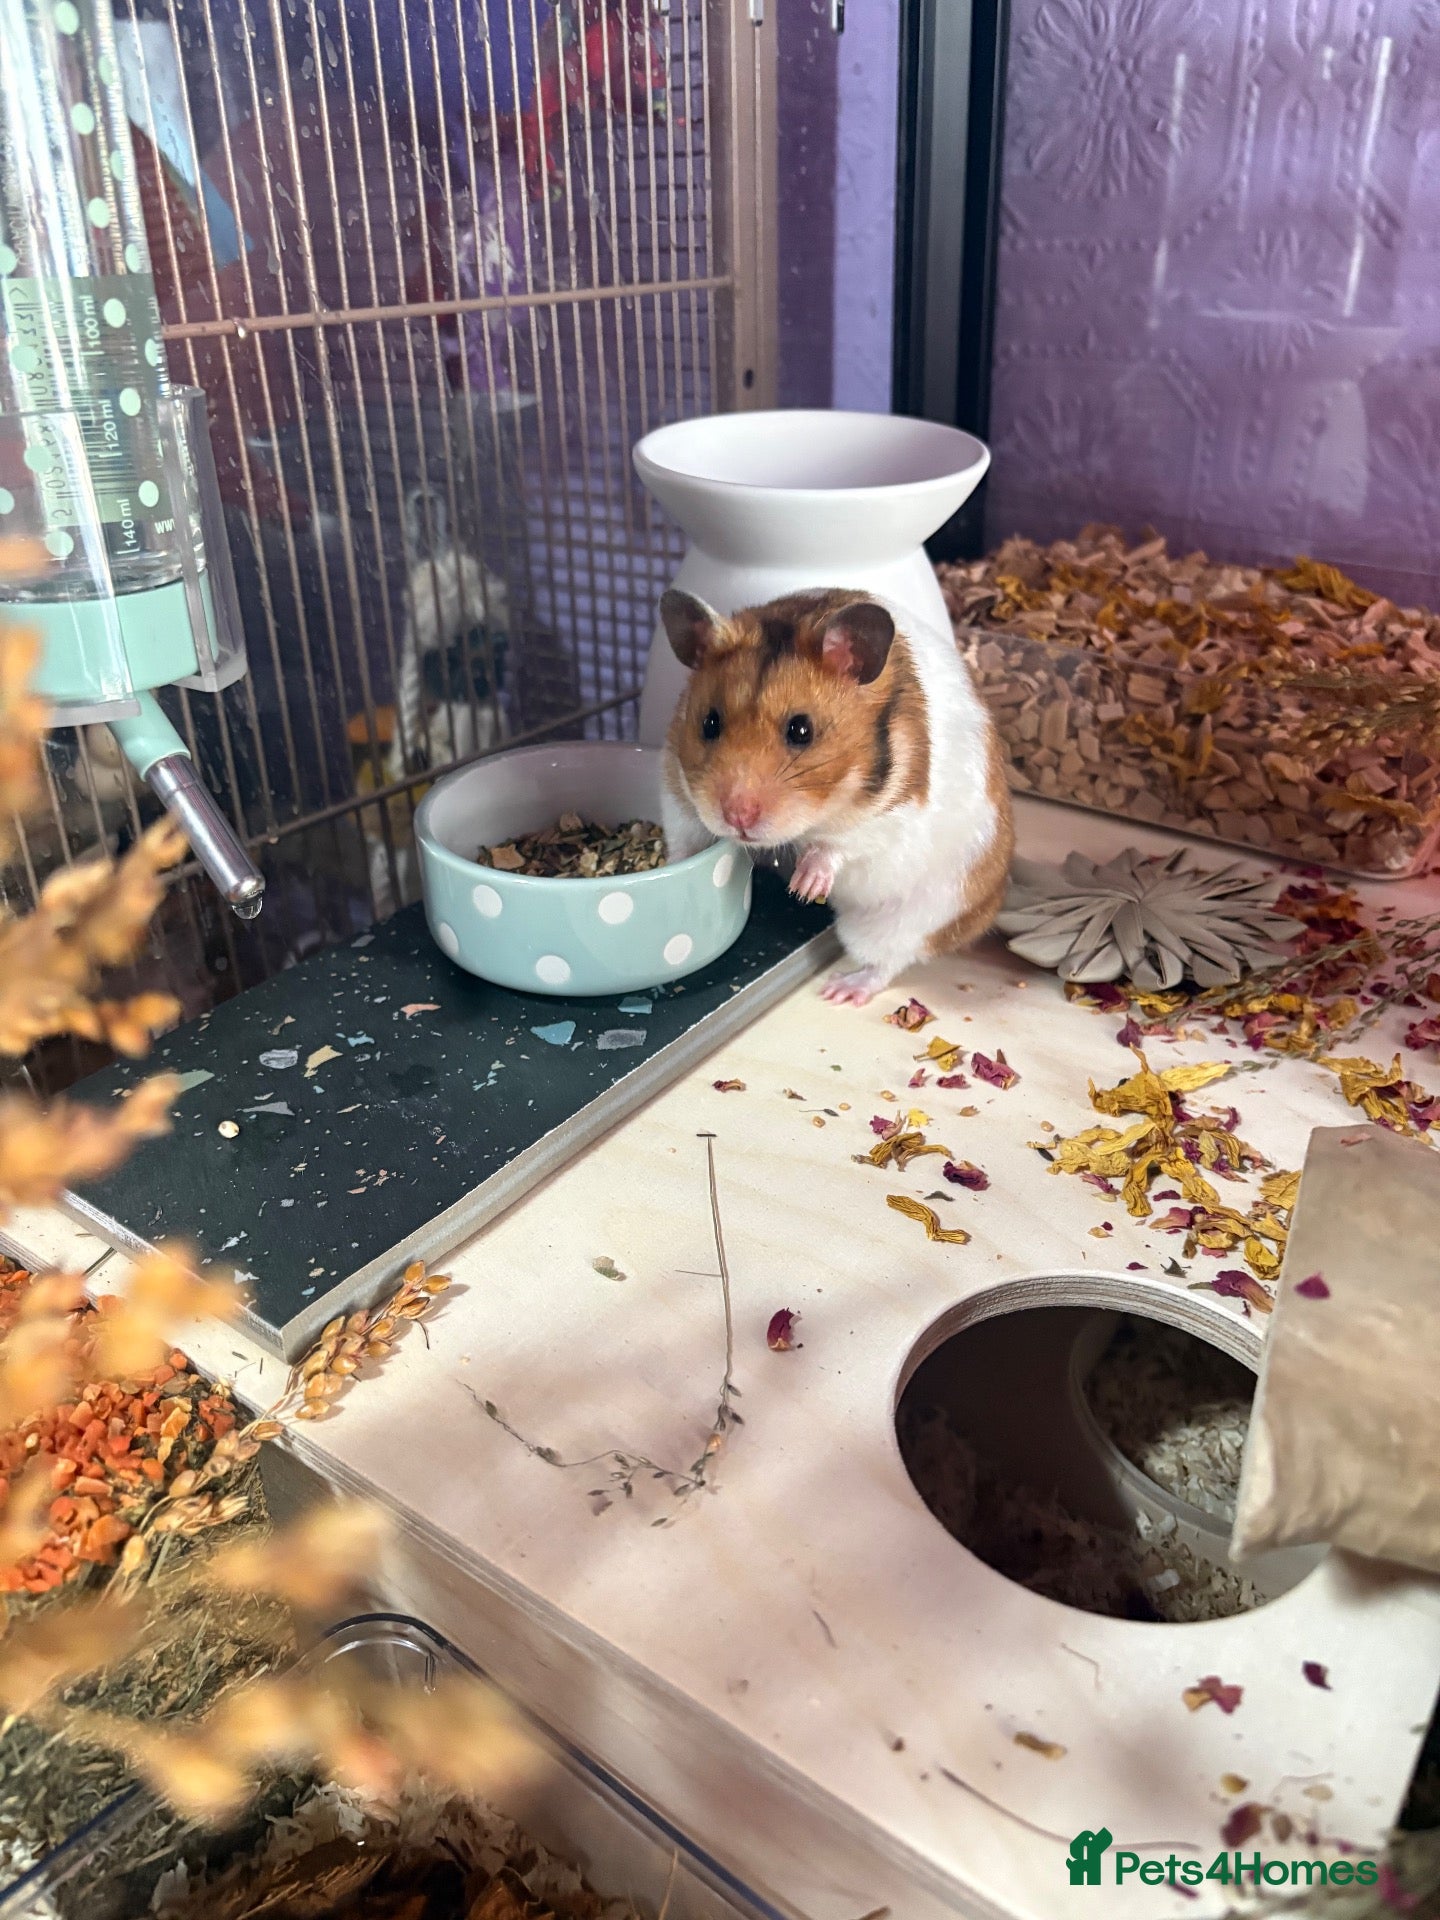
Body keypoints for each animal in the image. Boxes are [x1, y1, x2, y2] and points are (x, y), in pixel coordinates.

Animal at [657, 586, 1014, 1006]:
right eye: (710, 723)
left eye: (801, 730)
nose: (737, 817)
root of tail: (990, 907)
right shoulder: (677, 789)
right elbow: (685, 839)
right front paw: (673, 868)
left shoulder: (893, 815)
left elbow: (840, 844)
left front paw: (803, 887)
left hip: (907, 919)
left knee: (889, 962)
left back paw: (840, 990)